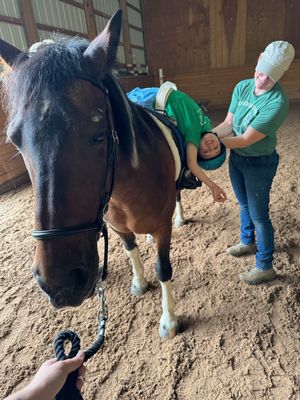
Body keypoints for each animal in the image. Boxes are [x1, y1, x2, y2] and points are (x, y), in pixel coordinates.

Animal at [0, 10, 178, 340]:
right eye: (15, 141)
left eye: (99, 135)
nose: (61, 283)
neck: (126, 193)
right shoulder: (119, 227)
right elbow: (131, 251)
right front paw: (139, 283)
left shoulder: (163, 227)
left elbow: (163, 269)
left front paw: (169, 320)